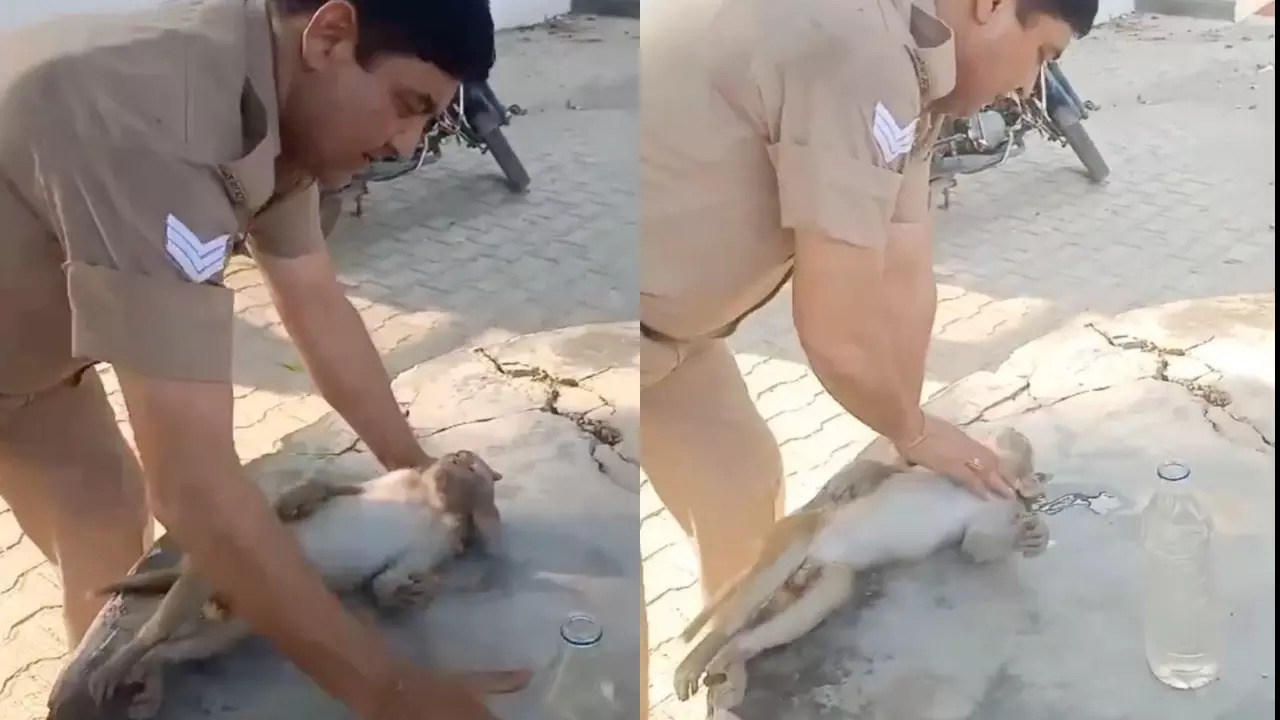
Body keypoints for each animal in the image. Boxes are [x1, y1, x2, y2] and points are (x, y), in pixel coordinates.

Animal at [82, 448, 504, 712]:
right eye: (461, 462)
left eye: (473, 472)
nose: (454, 462)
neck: (430, 502)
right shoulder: (398, 480)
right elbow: (335, 487)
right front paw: (299, 498)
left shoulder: (436, 540)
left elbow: (391, 575)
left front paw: (407, 591)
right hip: (217, 565)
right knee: (167, 619)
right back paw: (125, 660)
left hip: (243, 616)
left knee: (197, 644)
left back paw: (150, 674)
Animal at [670, 425, 1049, 712]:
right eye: (985, 447)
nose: (986, 448)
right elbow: (897, 471)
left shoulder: (996, 511)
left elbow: (977, 545)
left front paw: (1030, 536)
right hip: (797, 532)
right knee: (764, 583)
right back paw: (704, 653)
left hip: (820, 572)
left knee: (829, 590)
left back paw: (734, 657)